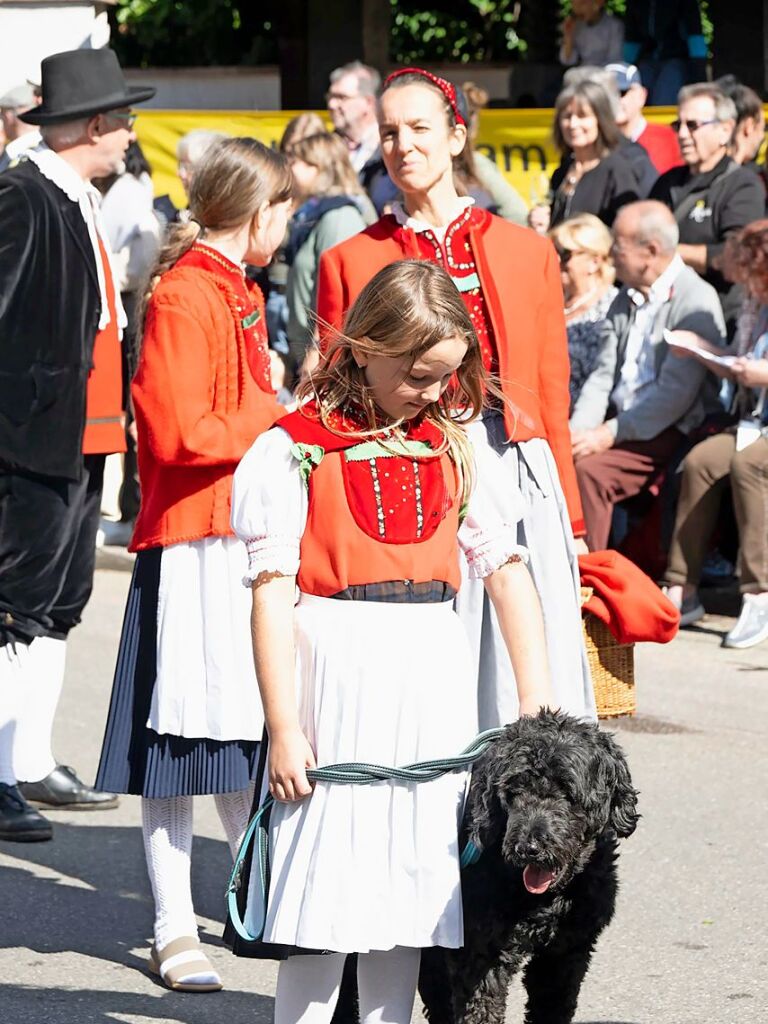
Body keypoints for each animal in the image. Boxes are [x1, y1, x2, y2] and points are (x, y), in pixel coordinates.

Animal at [331, 708, 638, 1024]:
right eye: (514, 793)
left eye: (566, 790)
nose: (528, 848)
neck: (545, 899)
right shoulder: (481, 954)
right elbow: (480, 1008)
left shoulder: (566, 953)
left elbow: (553, 1005)